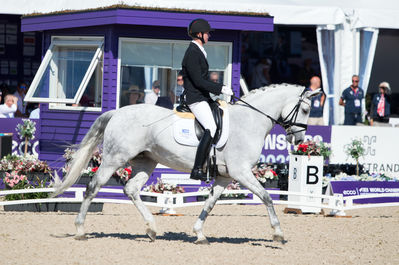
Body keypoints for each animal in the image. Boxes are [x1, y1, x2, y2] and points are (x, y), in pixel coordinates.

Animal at [53, 83, 322, 242]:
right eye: (306, 109)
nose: (299, 140)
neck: (250, 121)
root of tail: (117, 112)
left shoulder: (225, 176)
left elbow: (211, 203)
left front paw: (199, 234)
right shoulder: (241, 172)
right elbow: (267, 197)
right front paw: (278, 233)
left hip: (146, 162)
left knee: (131, 189)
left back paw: (152, 229)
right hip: (114, 158)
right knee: (92, 187)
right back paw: (80, 230)